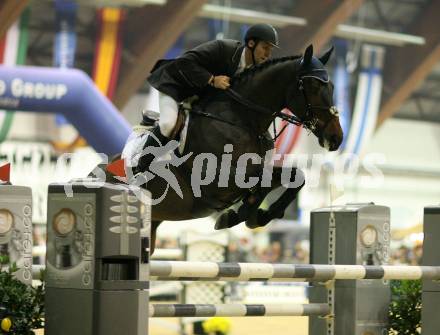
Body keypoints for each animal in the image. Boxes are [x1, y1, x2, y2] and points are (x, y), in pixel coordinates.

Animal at [116, 44, 340, 252]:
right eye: (312, 86)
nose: (336, 138)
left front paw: (258, 215)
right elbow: (261, 181)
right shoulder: (214, 181)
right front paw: (237, 215)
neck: (243, 120)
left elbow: (295, 176)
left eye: (332, 86)